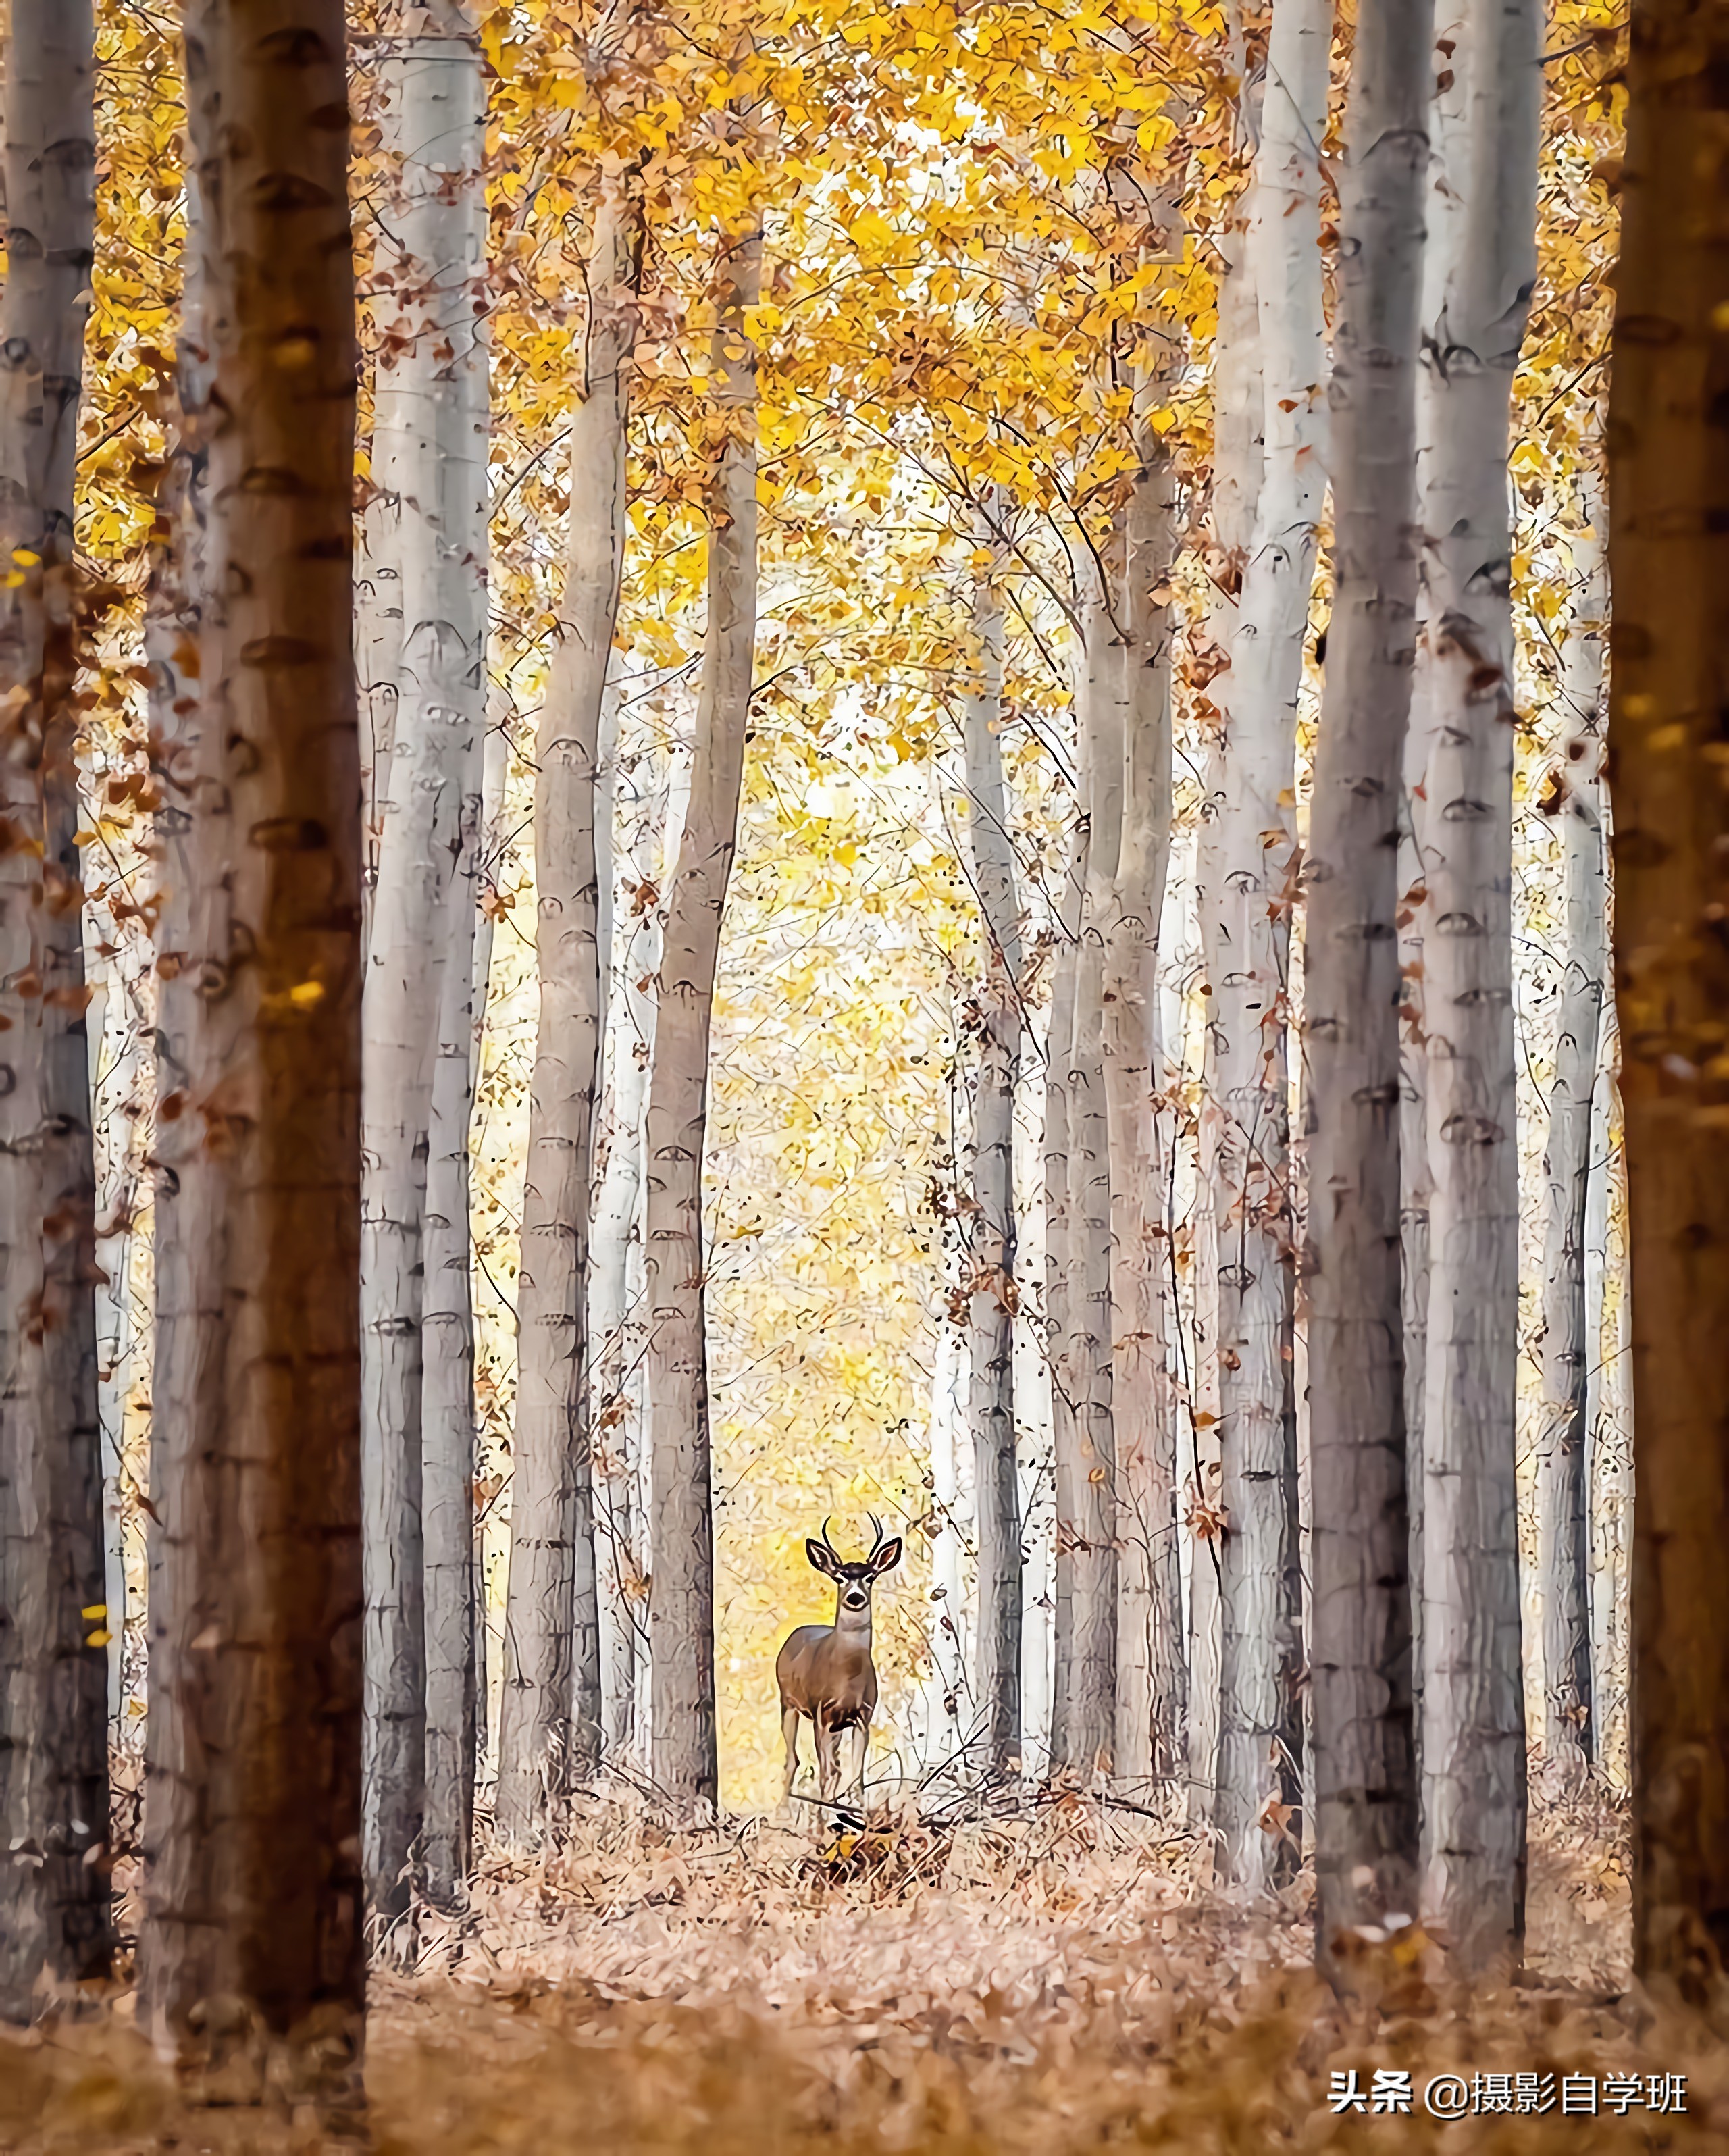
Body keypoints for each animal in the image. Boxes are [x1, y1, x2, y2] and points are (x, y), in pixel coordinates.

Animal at [771, 1518, 896, 1802]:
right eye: (840, 1577)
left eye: (870, 1577)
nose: (855, 1597)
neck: (847, 1678)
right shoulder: (821, 1712)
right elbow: (824, 1773)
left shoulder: (863, 1716)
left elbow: (856, 1779)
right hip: (789, 1703)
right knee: (792, 1760)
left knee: (835, 1767)